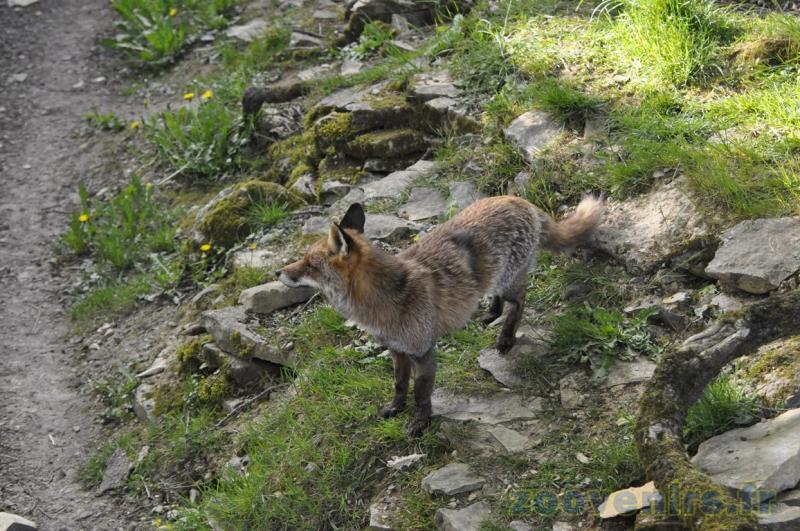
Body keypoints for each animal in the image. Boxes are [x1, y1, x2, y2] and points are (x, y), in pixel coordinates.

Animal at [277, 195, 603, 436]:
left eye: (309, 265)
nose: (278, 272)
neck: (384, 301)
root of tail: (519, 199)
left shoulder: (423, 352)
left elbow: (421, 394)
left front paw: (420, 423)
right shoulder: (397, 350)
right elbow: (399, 385)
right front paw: (395, 409)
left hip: (508, 282)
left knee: (520, 301)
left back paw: (506, 337)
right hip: (494, 279)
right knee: (498, 297)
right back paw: (490, 313)